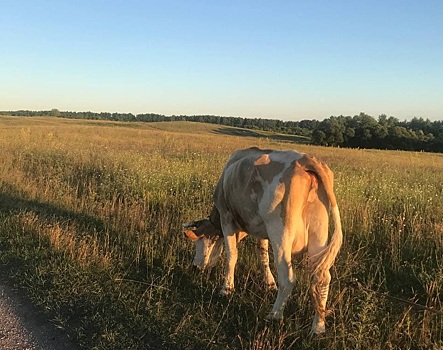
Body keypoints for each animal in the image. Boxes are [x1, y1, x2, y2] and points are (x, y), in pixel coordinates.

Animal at [183, 147, 344, 334]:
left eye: (199, 243)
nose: (195, 267)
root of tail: (306, 160)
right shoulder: (262, 230)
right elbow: (263, 256)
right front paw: (269, 283)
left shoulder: (226, 217)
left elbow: (232, 255)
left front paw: (226, 289)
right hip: (319, 233)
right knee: (321, 278)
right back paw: (318, 327)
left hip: (280, 230)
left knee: (288, 278)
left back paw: (274, 315)